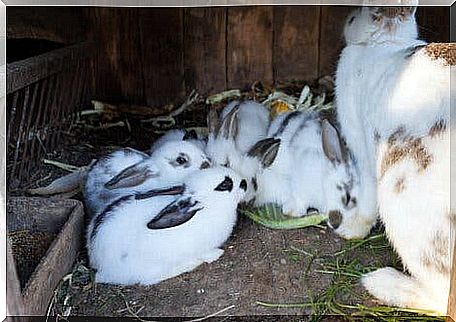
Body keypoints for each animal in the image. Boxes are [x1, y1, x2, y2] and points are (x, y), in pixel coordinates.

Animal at [334, 1, 454, 314]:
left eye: (353, 17)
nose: (346, 23)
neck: (386, 43)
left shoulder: (362, 152)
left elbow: (366, 199)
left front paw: (348, 230)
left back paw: (381, 282)